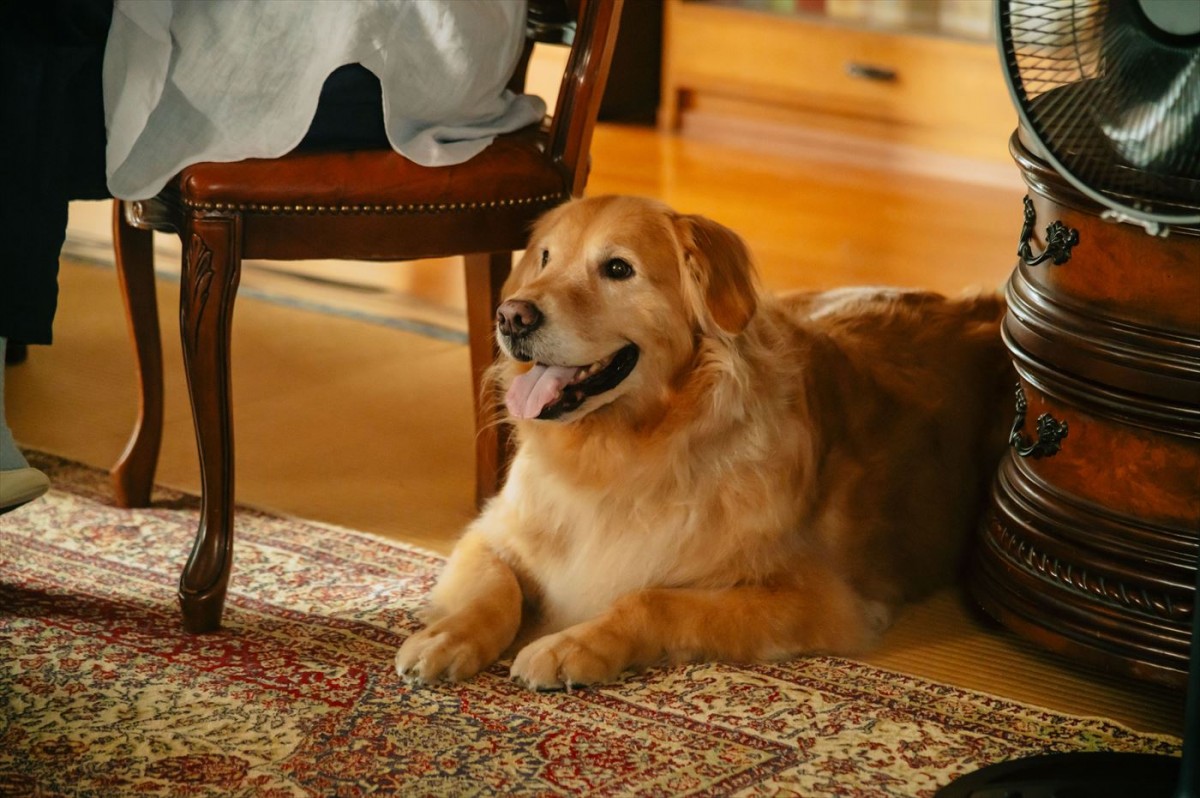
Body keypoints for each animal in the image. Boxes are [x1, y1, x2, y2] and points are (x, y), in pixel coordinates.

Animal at [396, 194, 1012, 691]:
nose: (511, 315)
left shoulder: (817, 600)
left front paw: (574, 644)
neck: (625, 451)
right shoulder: (492, 530)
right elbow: (495, 587)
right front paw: (447, 636)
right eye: (544, 257)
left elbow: (651, 599)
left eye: (617, 268)